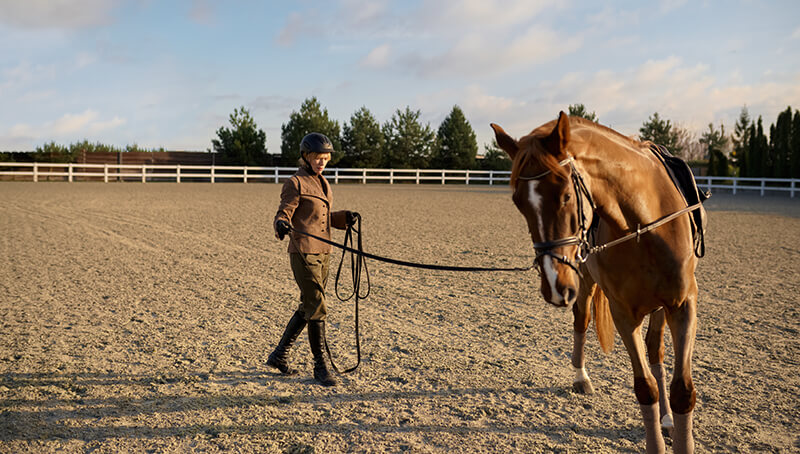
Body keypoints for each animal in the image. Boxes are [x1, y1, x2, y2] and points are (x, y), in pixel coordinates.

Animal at [494, 111, 700, 452]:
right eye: (517, 203)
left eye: (566, 195)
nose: (553, 285)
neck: (644, 227)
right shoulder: (623, 313)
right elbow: (645, 387)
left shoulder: (683, 305)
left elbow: (681, 389)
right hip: (585, 281)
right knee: (582, 319)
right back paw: (581, 378)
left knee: (655, 350)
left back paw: (668, 420)